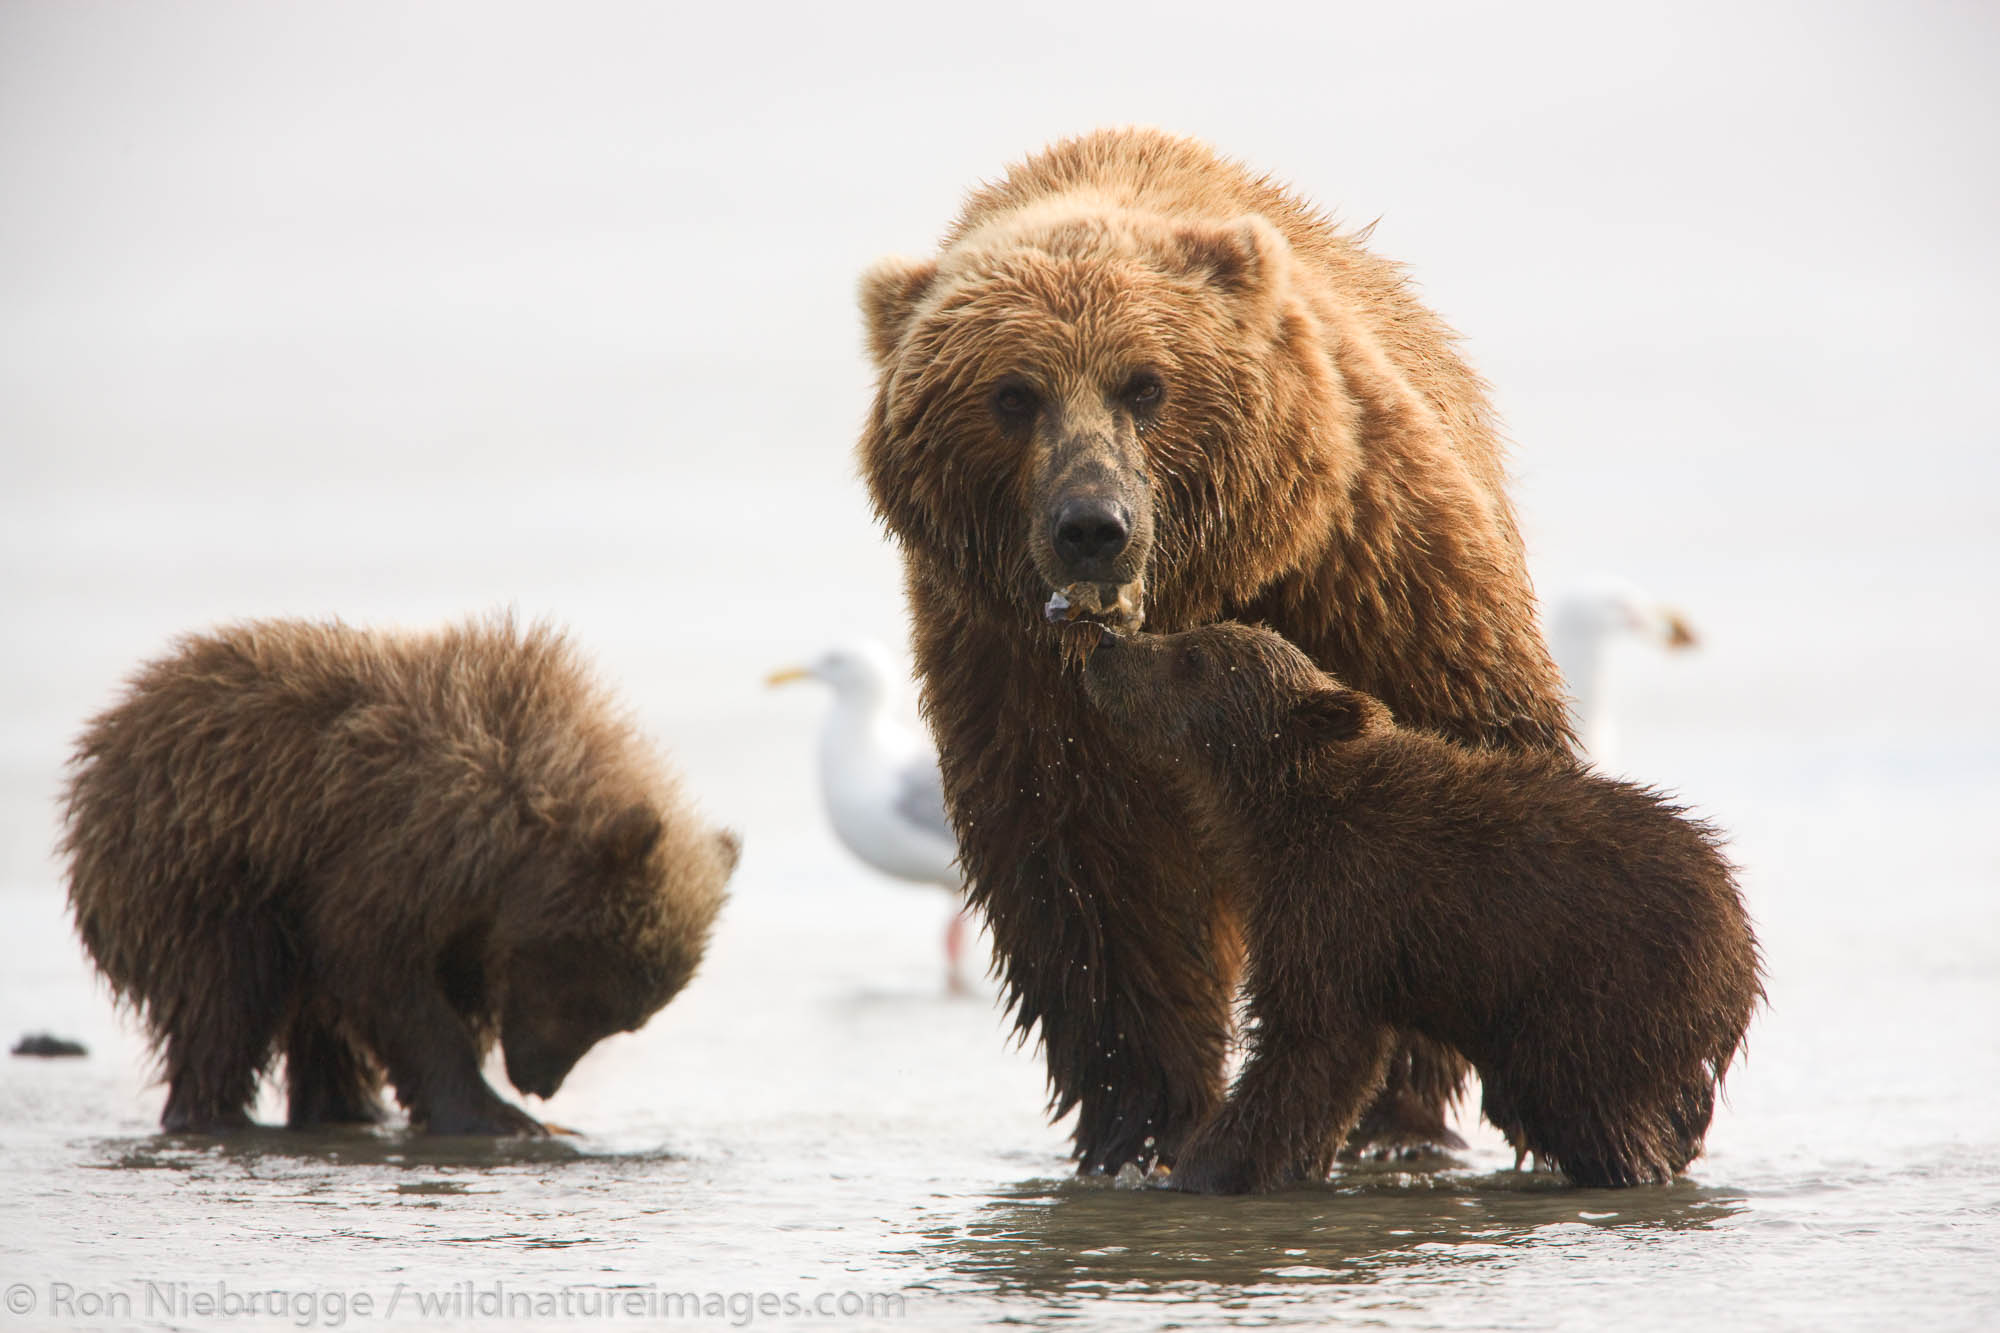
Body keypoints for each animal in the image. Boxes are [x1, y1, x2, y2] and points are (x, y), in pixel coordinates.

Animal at [852, 130, 1568, 1168]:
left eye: (1146, 383)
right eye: (1014, 394)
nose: (1092, 526)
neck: (1187, 594)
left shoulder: (1363, 567)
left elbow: (1448, 772)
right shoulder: (1021, 679)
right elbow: (1097, 887)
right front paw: (1145, 1119)